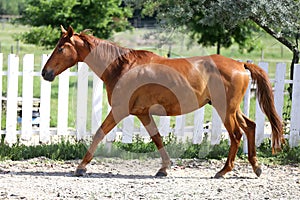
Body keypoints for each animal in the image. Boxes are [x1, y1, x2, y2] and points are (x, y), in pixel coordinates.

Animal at [41, 25, 284, 177]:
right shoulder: (142, 113)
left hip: (225, 110)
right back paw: (256, 167)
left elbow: (99, 133)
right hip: (231, 109)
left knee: (236, 135)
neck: (122, 66)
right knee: (250, 127)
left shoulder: (119, 110)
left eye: (60, 48)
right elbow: (157, 138)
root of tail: (241, 64)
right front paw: (164, 168)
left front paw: (81, 167)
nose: (45, 73)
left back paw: (223, 171)